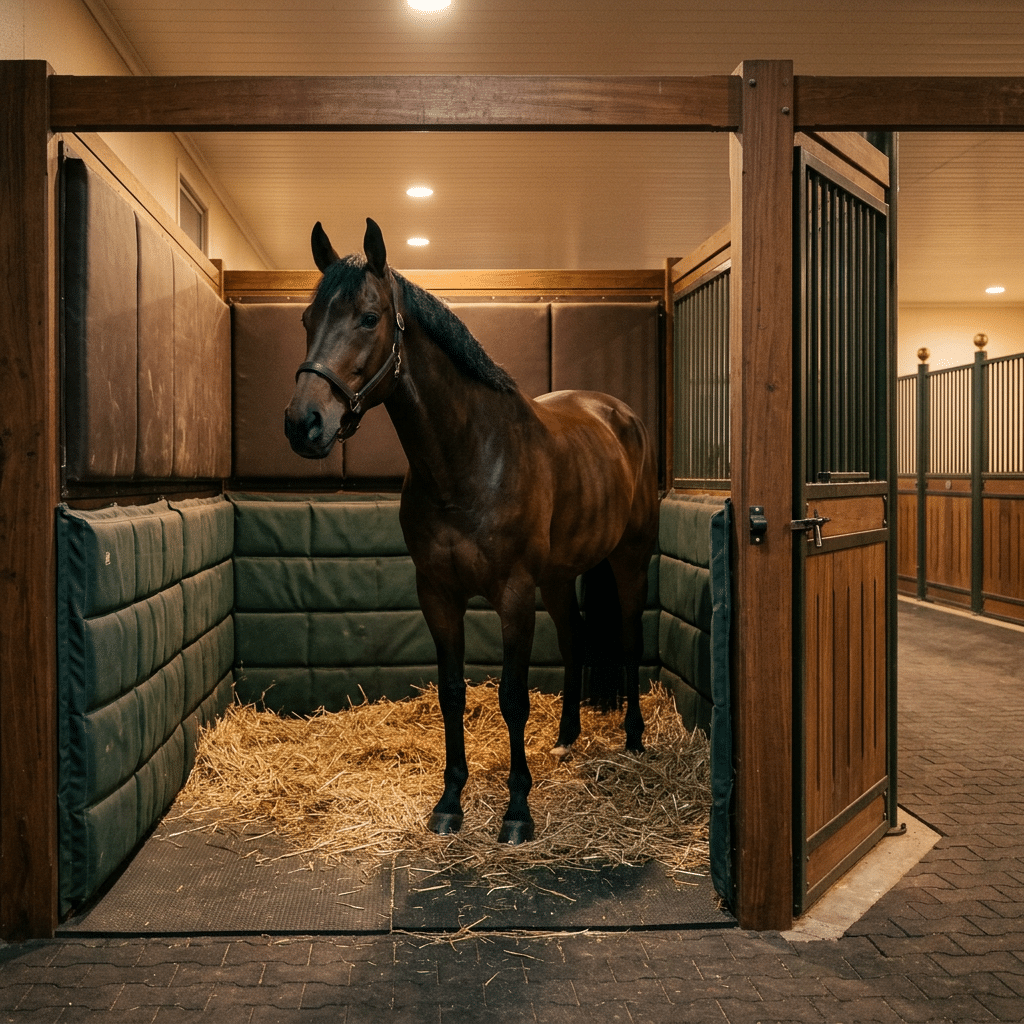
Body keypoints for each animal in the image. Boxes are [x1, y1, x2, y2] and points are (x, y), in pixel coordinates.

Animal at [285, 218, 659, 845]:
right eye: (308, 319)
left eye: (369, 317)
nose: (303, 423)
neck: (468, 460)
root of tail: (620, 415)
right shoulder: (438, 594)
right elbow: (452, 693)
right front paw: (450, 801)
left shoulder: (514, 595)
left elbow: (512, 697)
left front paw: (517, 811)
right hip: (558, 580)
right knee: (576, 640)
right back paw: (566, 739)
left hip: (629, 562)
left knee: (629, 641)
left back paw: (633, 738)